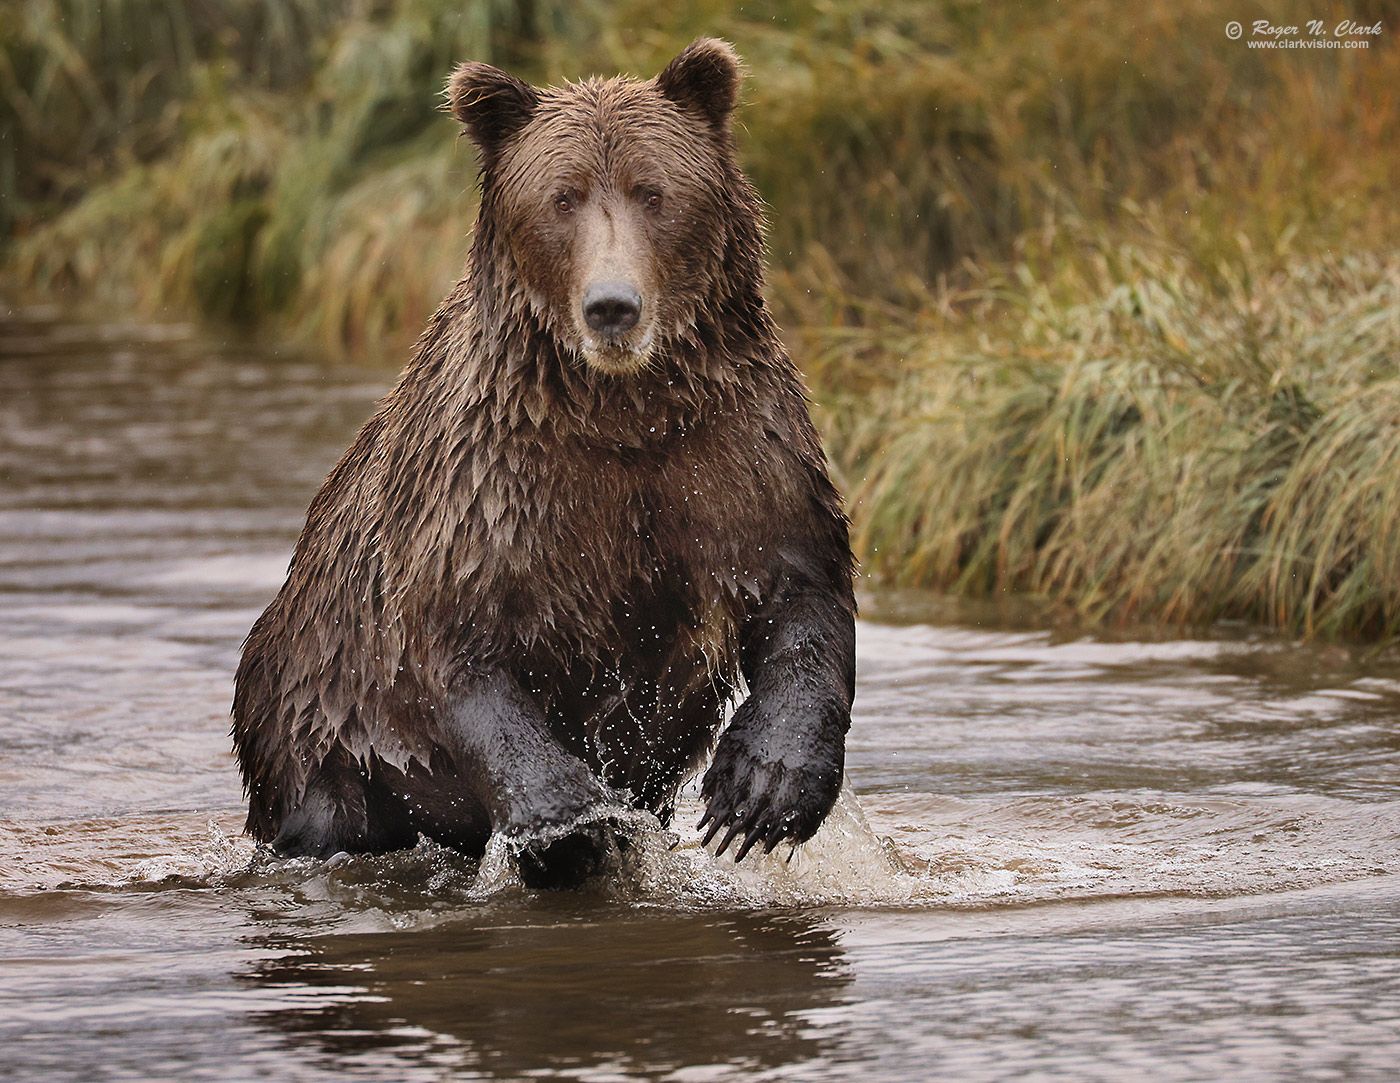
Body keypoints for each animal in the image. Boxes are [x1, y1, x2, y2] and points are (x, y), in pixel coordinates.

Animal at [232, 40, 851, 889]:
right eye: (562, 197)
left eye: (653, 192)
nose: (613, 306)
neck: (621, 410)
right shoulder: (487, 488)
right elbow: (456, 642)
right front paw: (569, 818)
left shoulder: (735, 447)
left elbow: (801, 592)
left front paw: (758, 793)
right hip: (319, 735)